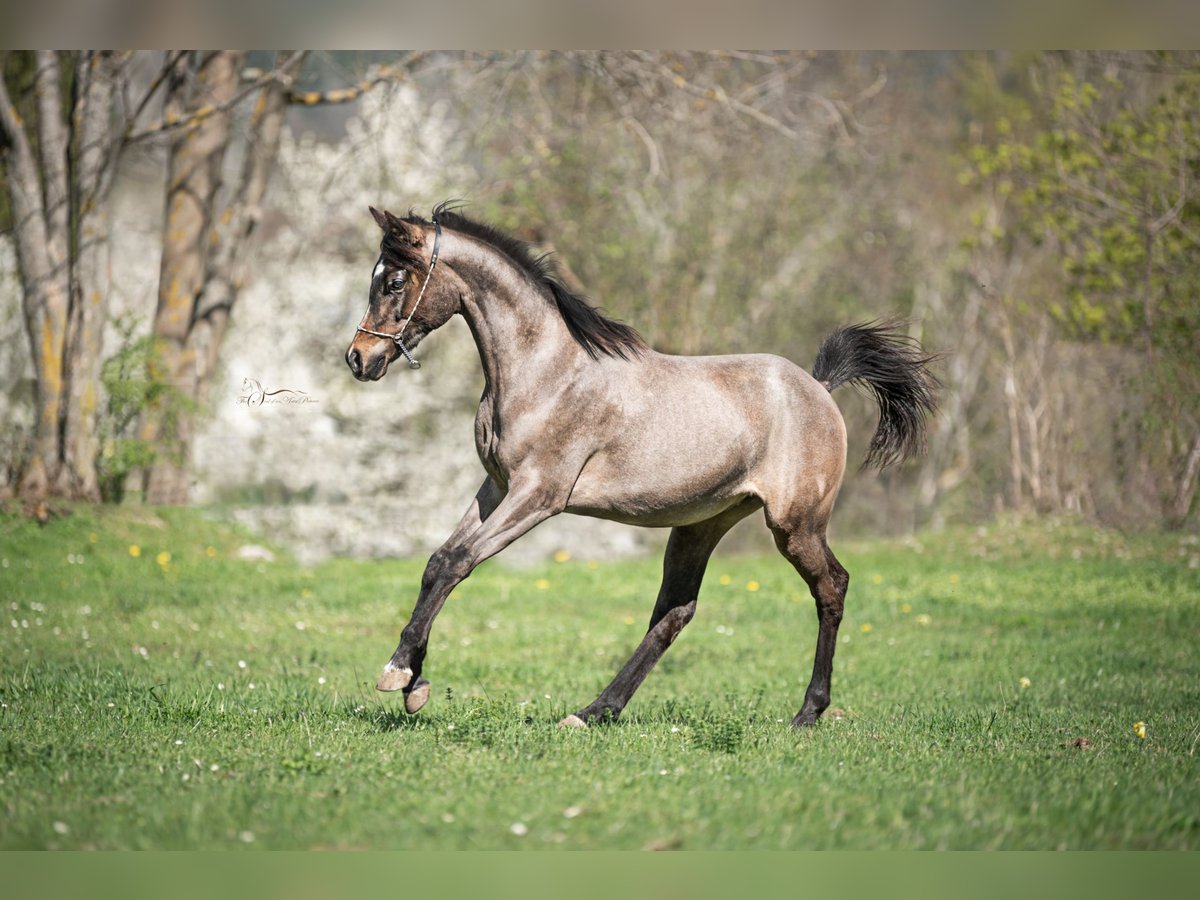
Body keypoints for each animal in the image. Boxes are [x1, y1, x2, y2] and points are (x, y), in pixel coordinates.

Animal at [345, 202, 936, 724]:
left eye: (394, 281)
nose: (359, 359)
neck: (546, 372)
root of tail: (819, 387)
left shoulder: (538, 496)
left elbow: (456, 563)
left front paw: (398, 675)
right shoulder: (496, 489)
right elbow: (437, 562)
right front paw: (414, 681)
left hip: (795, 524)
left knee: (831, 587)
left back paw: (808, 713)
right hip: (701, 525)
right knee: (674, 612)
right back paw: (593, 712)